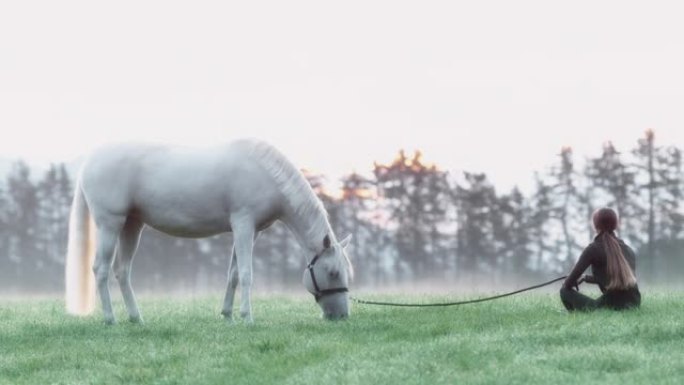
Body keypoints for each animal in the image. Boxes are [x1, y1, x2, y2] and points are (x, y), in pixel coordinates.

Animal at [65, 140, 352, 322]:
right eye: (332, 272)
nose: (341, 316)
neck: (264, 174)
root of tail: (89, 161)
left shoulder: (251, 231)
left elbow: (233, 274)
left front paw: (227, 314)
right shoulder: (243, 224)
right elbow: (246, 274)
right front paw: (247, 317)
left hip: (132, 225)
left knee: (122, 271)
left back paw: (136, 318)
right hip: (110, 224)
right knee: (100, 269)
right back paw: (110, 318)